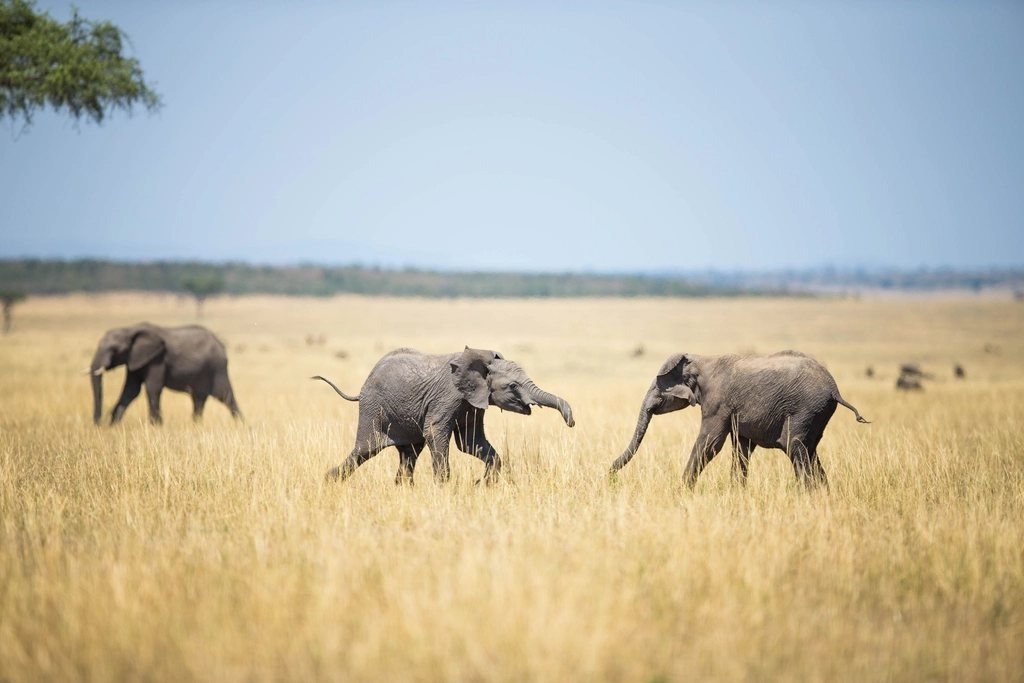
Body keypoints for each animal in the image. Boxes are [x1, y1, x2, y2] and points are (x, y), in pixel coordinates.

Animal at [89, 322, 241, 425]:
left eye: (114, 349)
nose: (98, 424)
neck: (130, 329)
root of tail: (220, 343)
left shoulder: (157, 359)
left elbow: (152, 388)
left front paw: (156, 425)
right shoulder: (135, 360)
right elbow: (131, 391)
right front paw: (113, 425)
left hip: (217, 368)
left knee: (225, 396)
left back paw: (239, 424)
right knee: (199, 399)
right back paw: (196, 424)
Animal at [313, 347, 575, 485]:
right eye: (512, 386)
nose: (571, 422)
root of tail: (362, 388)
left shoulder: (472, 403)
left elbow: (470, 442)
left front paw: (482, 485)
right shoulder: (448, 398)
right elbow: (436, 431)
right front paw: (445, 487)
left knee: (409, 453)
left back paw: (402, 488)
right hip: (373, 409)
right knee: (366, 449)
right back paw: (329, 480)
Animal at [610, 350, 869, 489]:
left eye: (657, 387)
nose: (609, 473)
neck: (700, 360)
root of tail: (834, 389)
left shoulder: (717, 402)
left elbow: (711, 443)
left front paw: (681, 492)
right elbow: (741, 448)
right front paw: (736, 493)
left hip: (806, 408)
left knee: (794, 446)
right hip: (817, 413)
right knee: (810, 449)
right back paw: (822, 495)